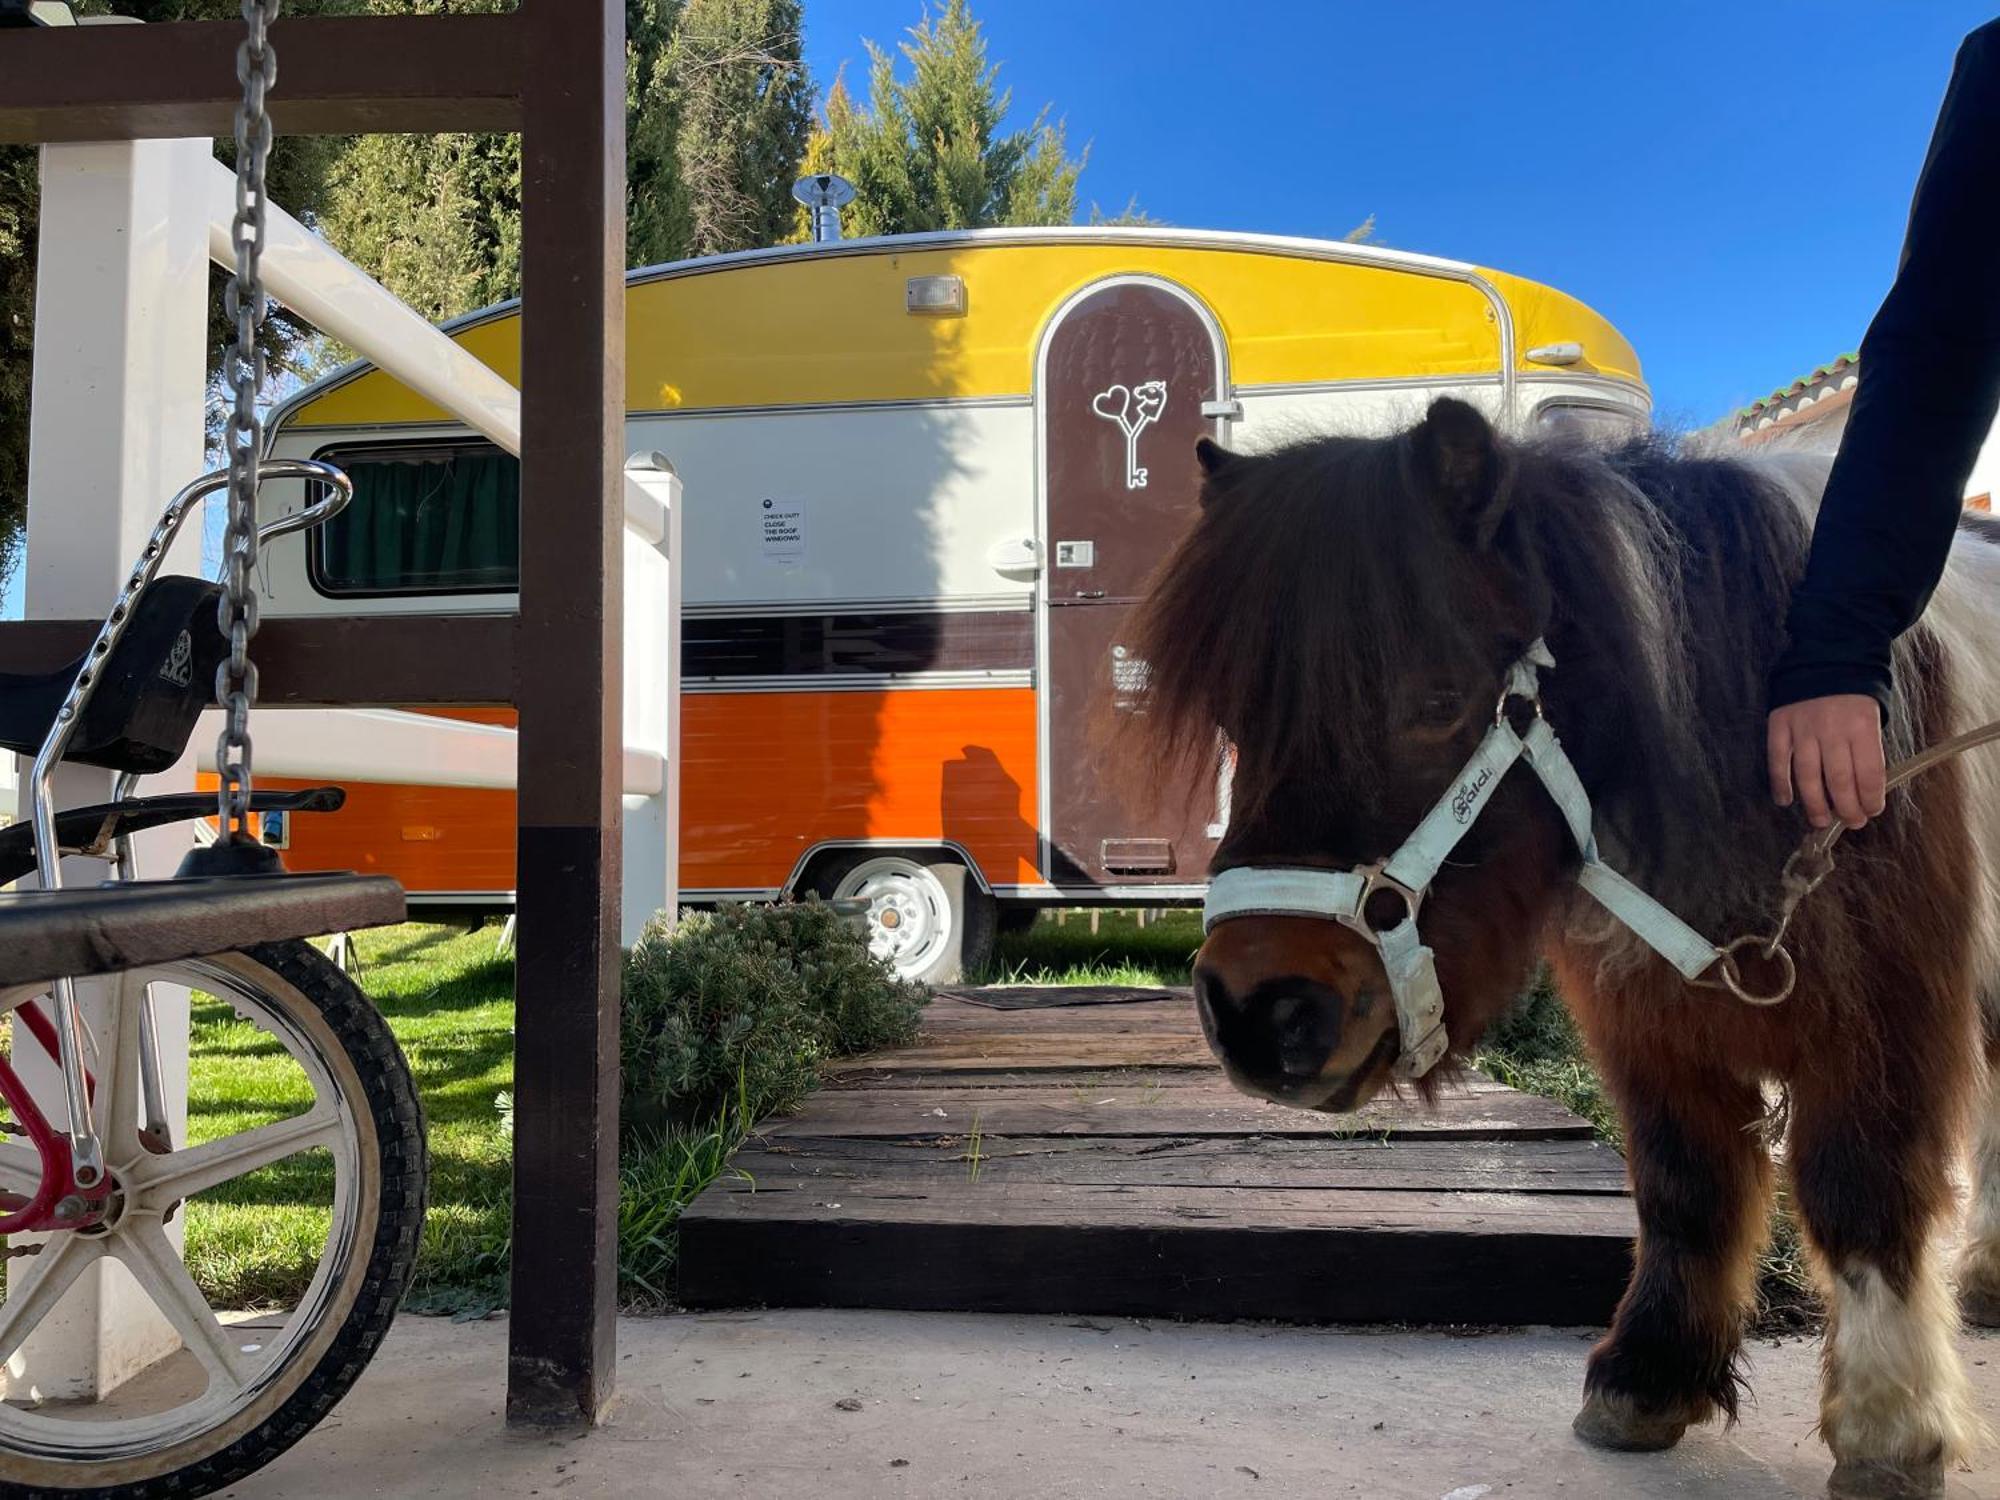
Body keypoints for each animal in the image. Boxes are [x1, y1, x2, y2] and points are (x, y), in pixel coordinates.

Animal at [1136, 400, 2000, 1500]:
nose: (1255, 1010)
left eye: (1435, 701)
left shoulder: (1881, 1019)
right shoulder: (1650, 1024)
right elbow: (1684, 1185)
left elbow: (1861, 1188)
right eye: (1233, 714)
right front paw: (1648, 1375)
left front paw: (1891, 1428)